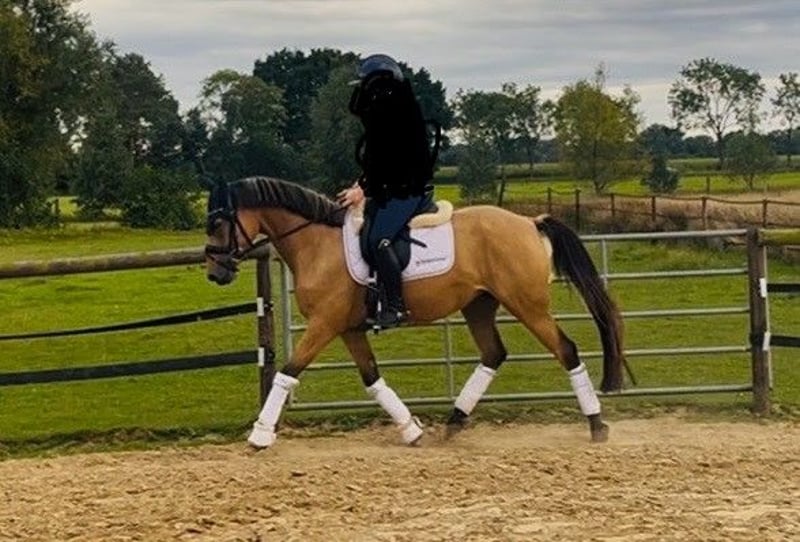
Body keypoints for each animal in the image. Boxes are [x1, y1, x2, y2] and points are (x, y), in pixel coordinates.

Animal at [204, 176, 627, 448]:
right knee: (493, 354)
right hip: (478, 305)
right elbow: (372, 379)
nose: (215, 272)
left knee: (565, 350)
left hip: (528, 305)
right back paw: (454, 423)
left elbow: (287, 373)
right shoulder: (348, 329)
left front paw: (259, 435)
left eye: (220, 222)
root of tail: (528, 222)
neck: (316, 243)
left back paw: (596, 425)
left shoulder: (324, 325)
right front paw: (411, 430)